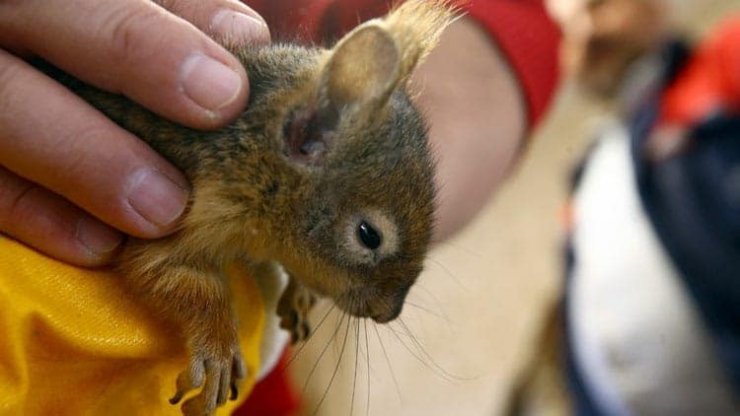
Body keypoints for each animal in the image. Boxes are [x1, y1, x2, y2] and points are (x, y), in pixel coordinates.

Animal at [46, 1, 454, 414]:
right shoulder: (191, 210)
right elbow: (169, 274)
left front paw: (300, 292)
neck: (254, 155)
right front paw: (220, 350)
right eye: (368, 235)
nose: (389, 313)